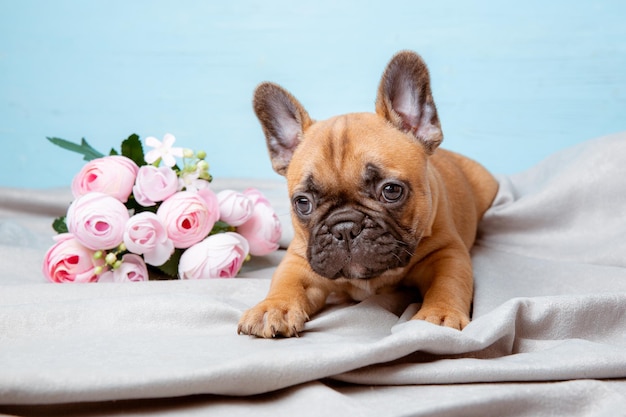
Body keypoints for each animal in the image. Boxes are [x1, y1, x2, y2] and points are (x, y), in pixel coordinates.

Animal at [236, 50, 494, 336]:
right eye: (303, 203)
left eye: (391, 191)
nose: (344, 227)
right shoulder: (299, 260)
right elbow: (285, 281)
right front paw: (273, 308)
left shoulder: (447, 253)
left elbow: (448, 282)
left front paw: (438, 315)